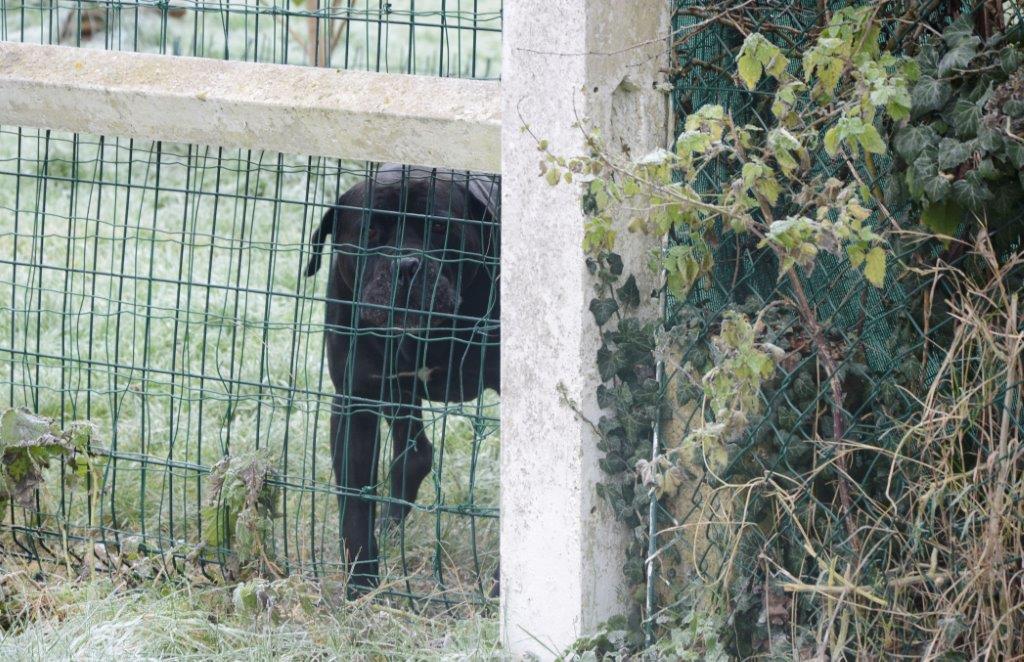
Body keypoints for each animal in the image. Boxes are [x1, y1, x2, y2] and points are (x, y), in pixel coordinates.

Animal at [303, 162, 499, 590]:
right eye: (370, 232)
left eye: (440, 228)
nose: (406, 265)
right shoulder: (356, 399)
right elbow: (355, 504)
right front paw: (361, 585)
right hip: (395, 391)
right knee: (414, 455)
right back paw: (390, 529)